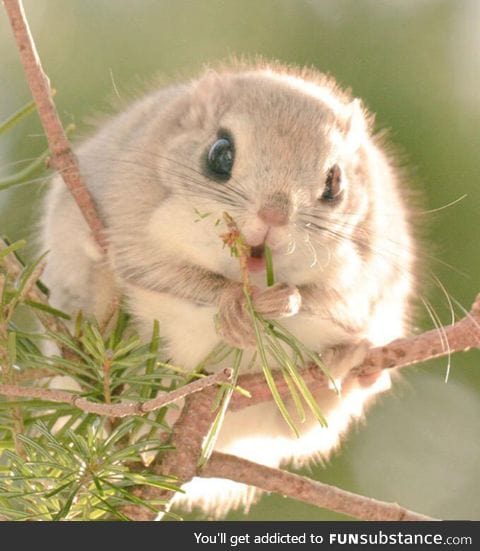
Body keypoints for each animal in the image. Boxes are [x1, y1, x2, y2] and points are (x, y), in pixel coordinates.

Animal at [41, 61, 416, 516]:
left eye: (335, 182)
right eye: (220, 154)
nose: (273, 216)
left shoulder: (371, 274)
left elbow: (328, 300)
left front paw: (288, 302)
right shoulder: (133, 225)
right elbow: (173, 276)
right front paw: (235, 309)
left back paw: (353, 363)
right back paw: (100, 277)